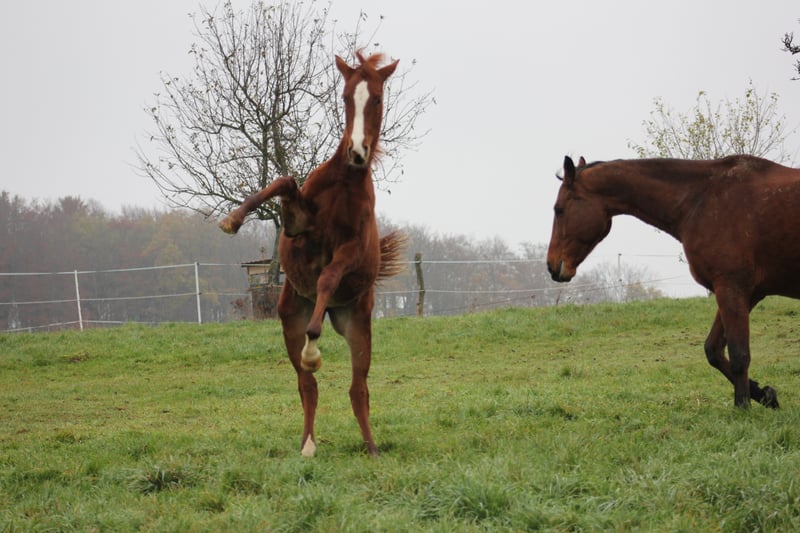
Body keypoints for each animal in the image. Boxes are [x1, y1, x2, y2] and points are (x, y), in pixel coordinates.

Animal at [219, 51, 404, 456]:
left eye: (377, 99)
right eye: (347, 97)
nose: (356, 152)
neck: (346, 182)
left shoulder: (352, 248)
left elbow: (328, 277)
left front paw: (313, 348)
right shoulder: (298, 224)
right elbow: (283, 181)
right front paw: (233, 219)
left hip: (357, 326)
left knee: (358, 388)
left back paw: (371, 446)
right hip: (289, 320)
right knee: (308, 387)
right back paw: (307, 446)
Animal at [547, 154, 800, 408]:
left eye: (559, 209)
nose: (552, 266)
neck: (704, 198)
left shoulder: (732, 289)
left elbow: (739, 355)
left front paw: (743, 407)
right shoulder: (745, 294)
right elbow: (714, 350)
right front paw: (765, 394)